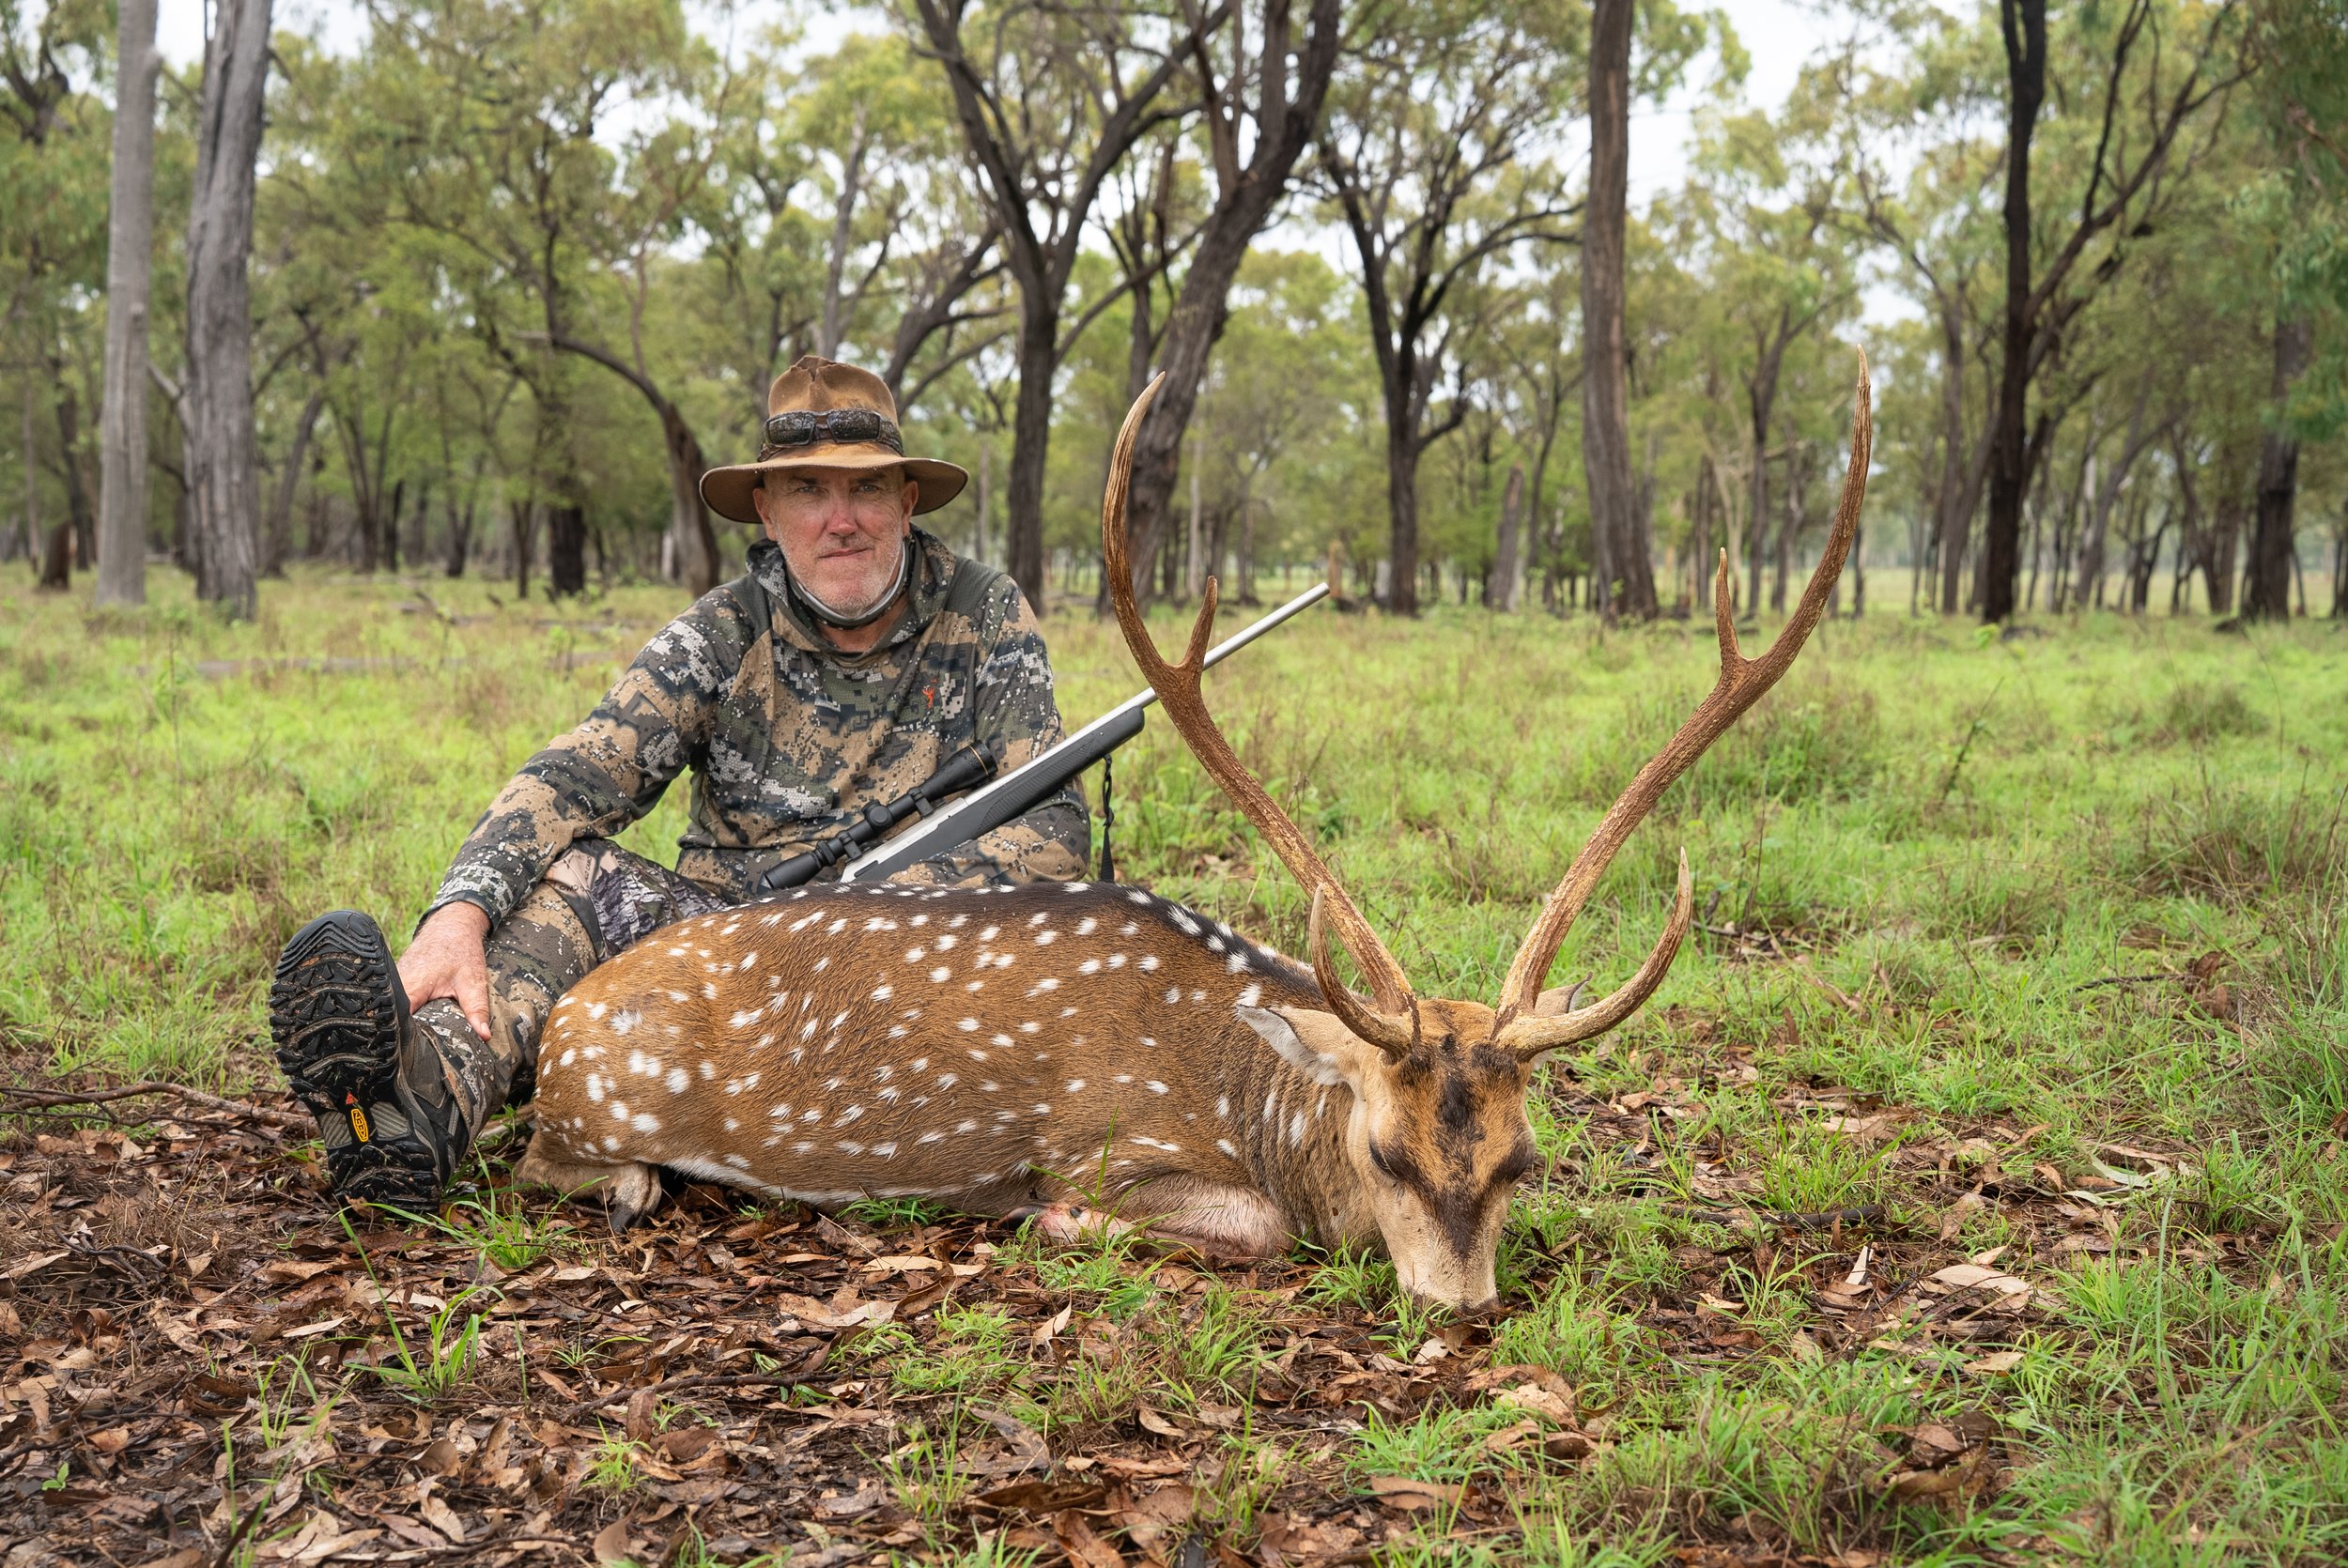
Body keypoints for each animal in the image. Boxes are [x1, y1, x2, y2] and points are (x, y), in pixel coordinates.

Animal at [514, 357, 1872, 1311]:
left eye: (1523, 1159)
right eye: (1384, 1153)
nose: (1465, 1309)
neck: (1254, 1096)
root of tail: (564, 1018)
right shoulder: (1109, 1142)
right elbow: (1238, 1222)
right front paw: (1058, 1224)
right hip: (595, 1103)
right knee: (557, 1155)